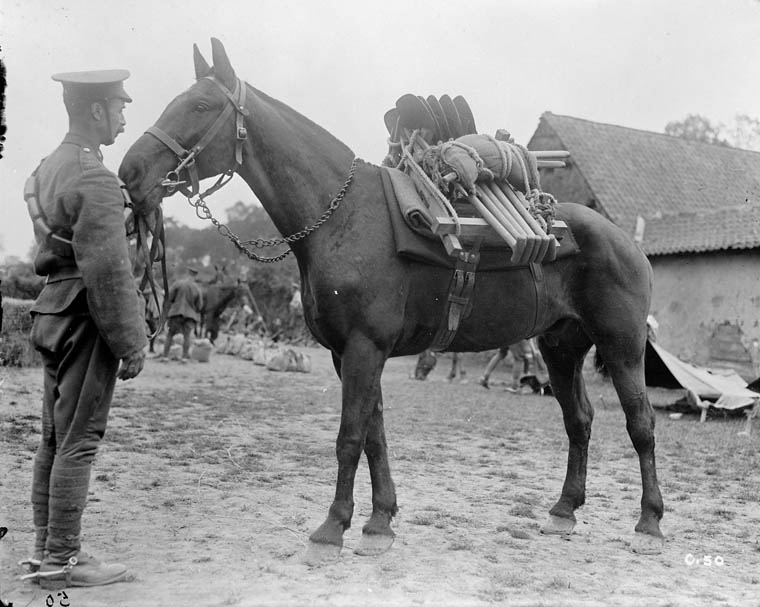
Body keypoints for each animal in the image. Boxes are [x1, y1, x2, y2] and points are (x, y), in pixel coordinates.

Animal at [119, 38, 664, 564]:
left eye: (201, 105)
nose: (131, 171)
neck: (341, 218)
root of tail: (626, 241)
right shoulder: (349, 353)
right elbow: (374, 435)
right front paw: (379, 523)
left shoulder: (364, 347)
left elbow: (349, 437)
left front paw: (331, 530)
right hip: (561, 347)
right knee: (579, 420)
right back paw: (564, 509)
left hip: (621, 344)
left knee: (640, 422)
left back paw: (650, 523)